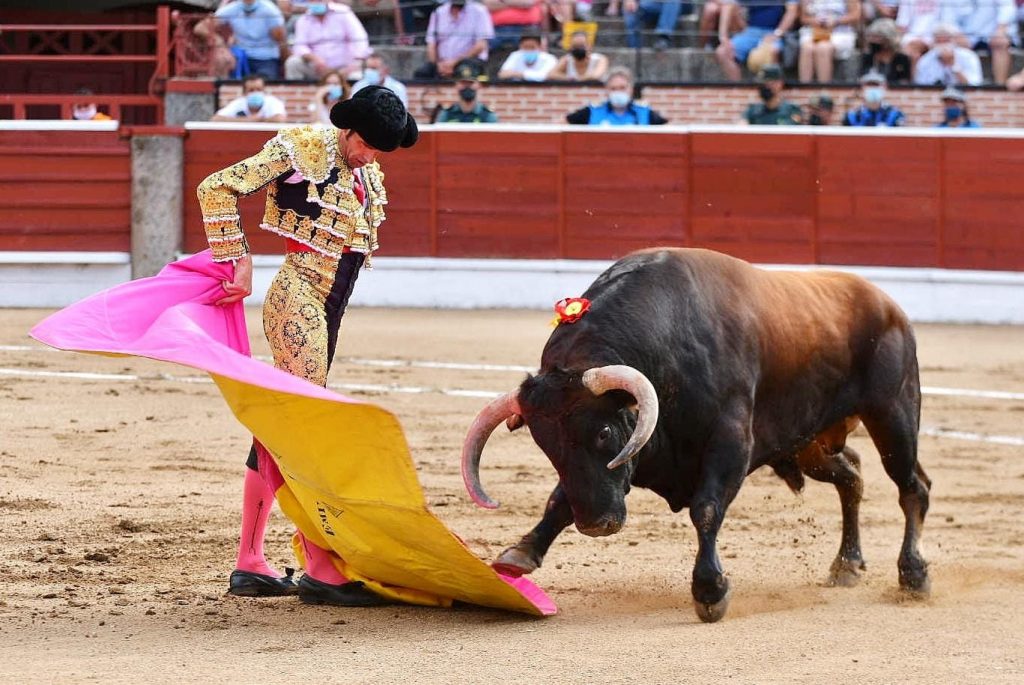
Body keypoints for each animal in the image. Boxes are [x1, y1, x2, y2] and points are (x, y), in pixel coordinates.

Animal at [464, 245, 937, 618]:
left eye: (603, 432)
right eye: (545, 446)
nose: (597, 524)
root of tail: (887, 304)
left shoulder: (731, 441)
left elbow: (707, 508)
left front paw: (710, 591)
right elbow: (559, 499)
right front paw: (520, 554)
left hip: (892, 413)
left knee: (912, 486)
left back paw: (913, 575)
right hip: (808, 442)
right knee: (851, 476)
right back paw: (847, 565)